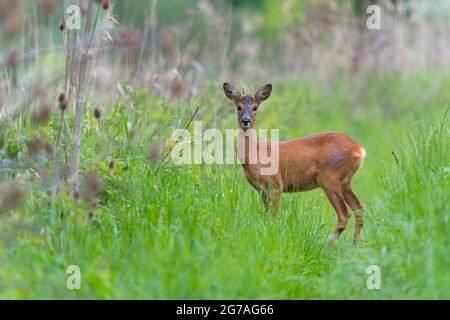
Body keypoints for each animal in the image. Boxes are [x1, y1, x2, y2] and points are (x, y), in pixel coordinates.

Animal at [223, 83, 368, 245]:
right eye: (238, 107)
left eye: (255, 107)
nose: (246, 120)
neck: (255, 154)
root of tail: (359, 149)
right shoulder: (261, 189)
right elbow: (266, 215)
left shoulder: (275, 184)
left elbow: (274, 216)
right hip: (345, 182)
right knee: (359, 209)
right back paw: (354, 246)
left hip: (330, 178)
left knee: (344, 214)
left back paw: (327, 247)